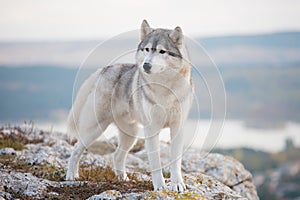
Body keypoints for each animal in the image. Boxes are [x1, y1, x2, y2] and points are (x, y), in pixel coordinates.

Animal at [65, 19, 193, 192]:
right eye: (147, 49)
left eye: (162, 51)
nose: (146, 65)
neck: (165, 89)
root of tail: (103, 69)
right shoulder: (151, 129)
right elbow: (155, 162)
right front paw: (160, 187)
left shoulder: (177, 127)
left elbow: (176, 162)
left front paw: (177, 185)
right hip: (95, 129)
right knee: (75, 150)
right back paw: (71, 176)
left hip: (130, 135)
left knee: (117, 156)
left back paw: (123, 179)